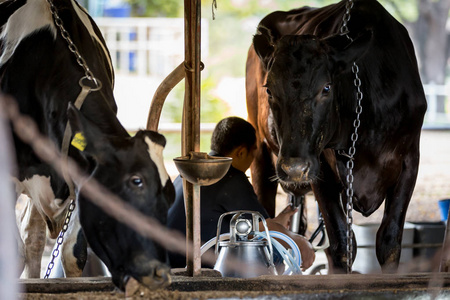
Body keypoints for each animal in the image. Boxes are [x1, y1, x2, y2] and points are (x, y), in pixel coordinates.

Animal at [246, 0, 426, 274]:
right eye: (269, 90)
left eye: (326, 87)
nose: (294, 168)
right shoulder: (322, 169)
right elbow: (342, 243)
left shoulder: (410, 162)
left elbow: (389, 241)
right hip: (262, 153)